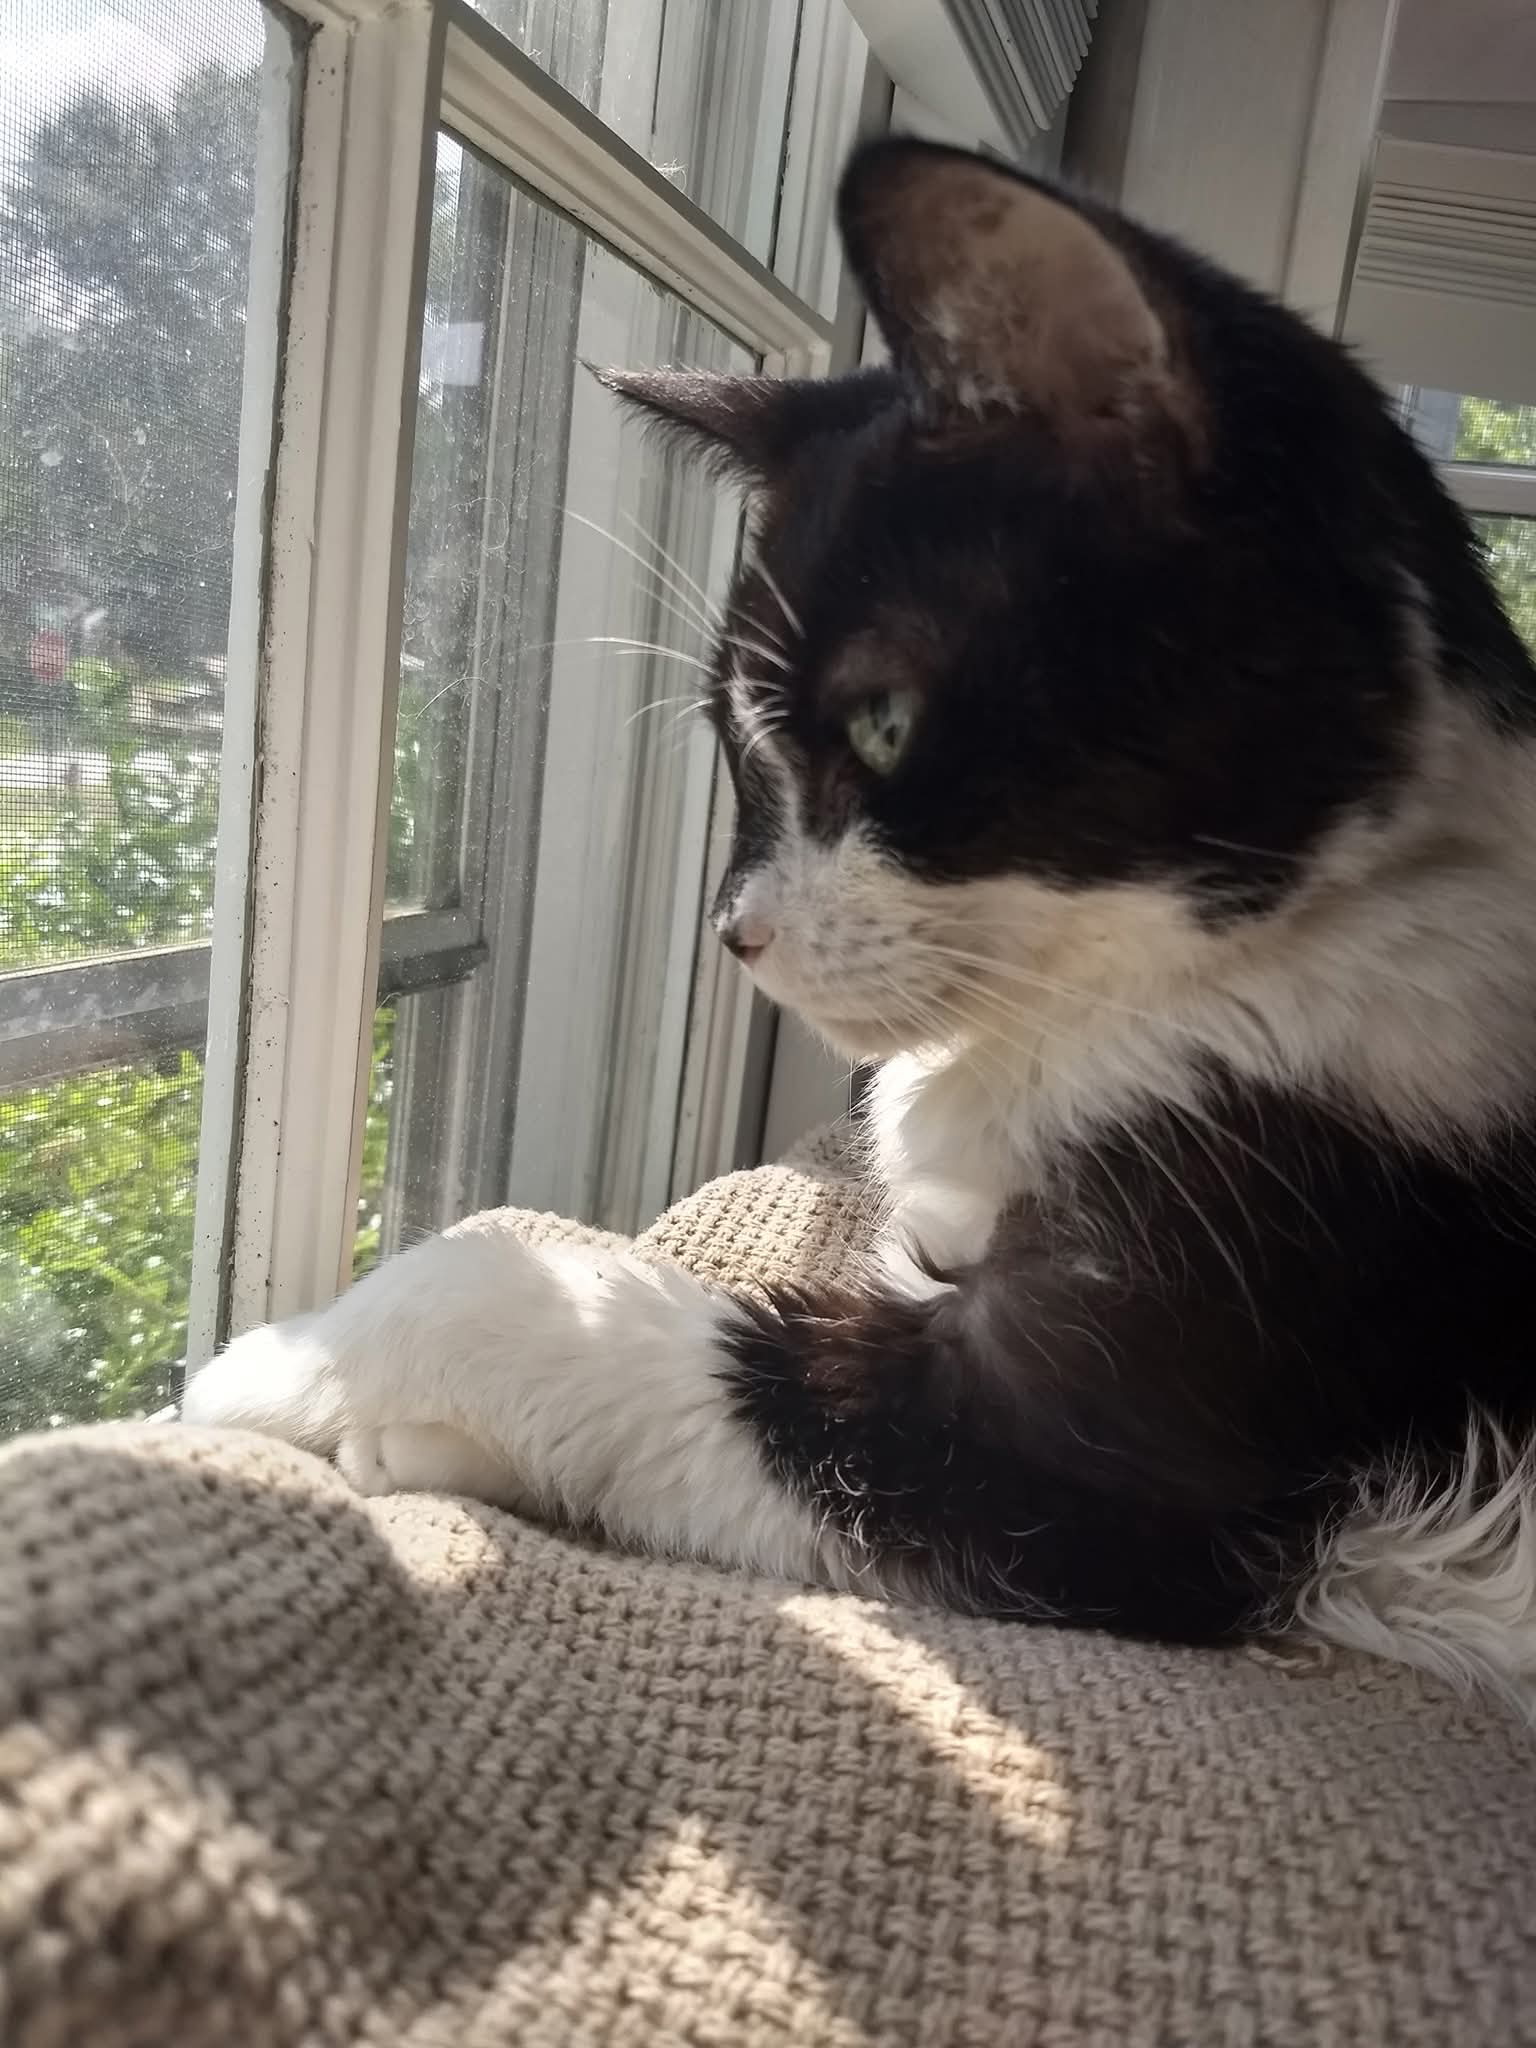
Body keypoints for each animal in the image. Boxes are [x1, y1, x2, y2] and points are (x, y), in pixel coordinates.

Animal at [185, 137, 1536, 1707]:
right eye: (734, 742)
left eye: (883, 724)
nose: (737, 929)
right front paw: (407, 1426)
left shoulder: (1142, 1408)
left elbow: (573, 1301)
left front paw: (279, 1365)